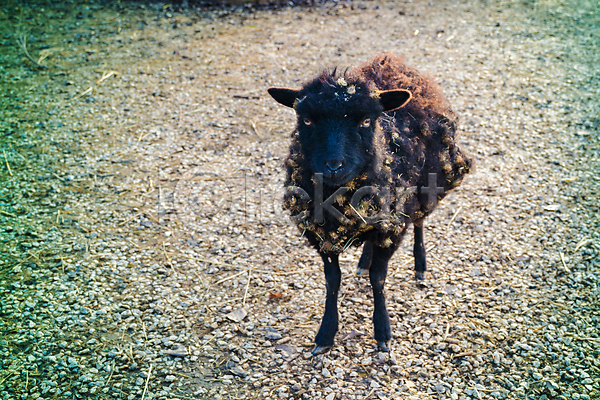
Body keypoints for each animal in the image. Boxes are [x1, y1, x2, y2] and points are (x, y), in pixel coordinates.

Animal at [270, 52, 472, 354]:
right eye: (306, 120)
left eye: (366, 121)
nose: (333, 166)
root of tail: (393, 62)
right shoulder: (322, 234)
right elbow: (332, 280)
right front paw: (325, 334)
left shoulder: (393, 228)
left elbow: (379, 277)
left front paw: (382, 331)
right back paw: (364, 260)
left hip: (424, 190)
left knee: (420, 222)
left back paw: (420, 265)